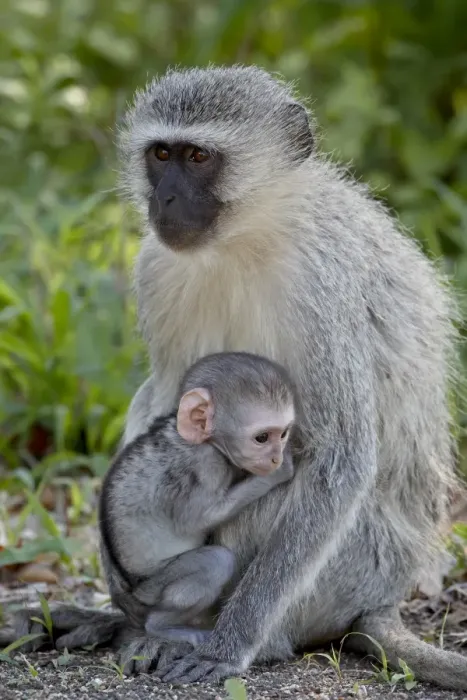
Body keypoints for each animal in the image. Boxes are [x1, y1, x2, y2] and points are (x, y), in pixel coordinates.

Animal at [99, 351, 296, 643]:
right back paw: (162, 626)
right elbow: (198, 519)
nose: (276, 458)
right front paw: (278, 474)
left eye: (282, 434)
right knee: (216, 561)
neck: (203, 441)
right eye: (262, 438)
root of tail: (134, 589)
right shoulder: (205, 464)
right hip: (155, 586)